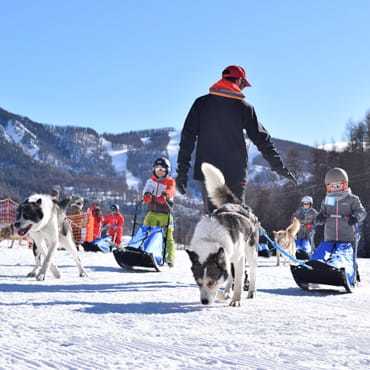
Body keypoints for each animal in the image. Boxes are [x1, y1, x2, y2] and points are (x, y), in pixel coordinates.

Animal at [186, 164, 258, 306]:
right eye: (198, 283)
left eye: (211, 282)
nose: (204, 302)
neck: (210, 238)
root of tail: (239, 205)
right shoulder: (226, 257)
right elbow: (226, 279)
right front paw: (224, 294)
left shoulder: (239, 258)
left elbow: (238, 281)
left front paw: (235, 300)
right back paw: (227, 291)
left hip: (250, 251)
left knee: (252, 271)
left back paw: (251, 292)